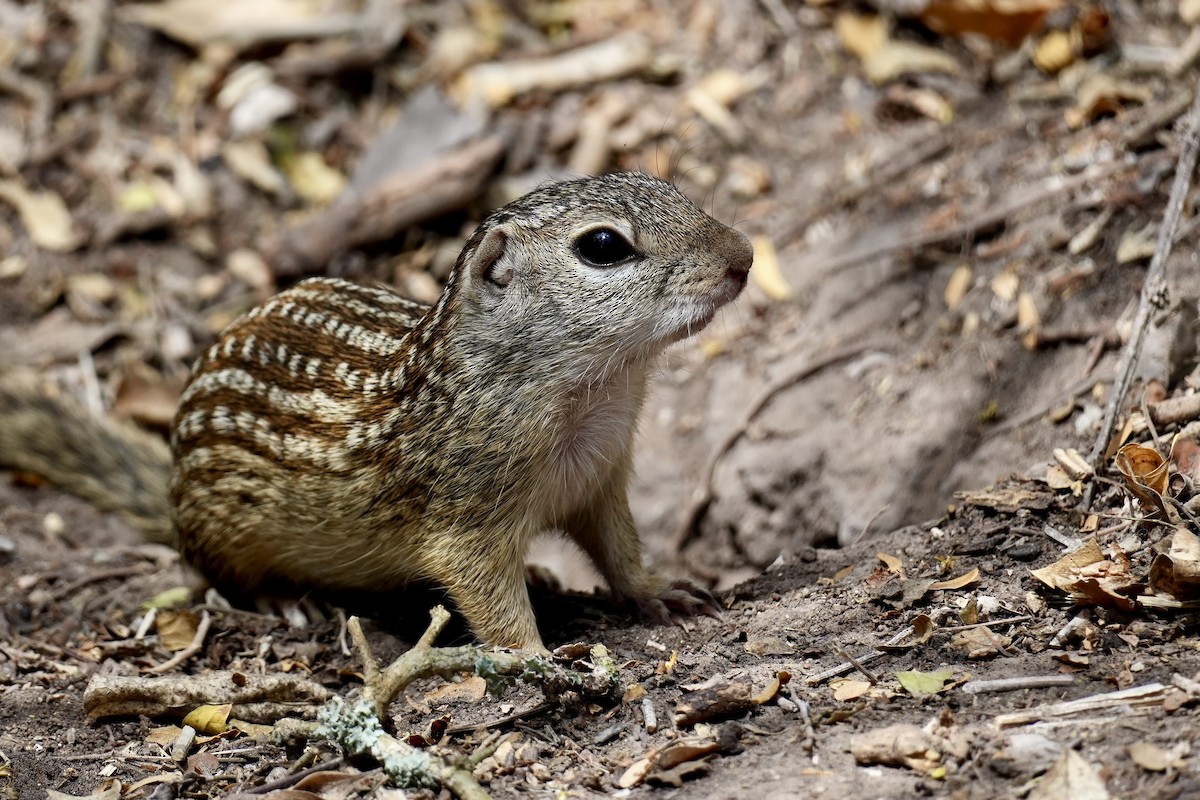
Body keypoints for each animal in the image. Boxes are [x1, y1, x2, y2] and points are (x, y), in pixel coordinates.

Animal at [0, 172, 753, 652]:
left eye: (670, 188)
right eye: (603, 246)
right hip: (225, 533)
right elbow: (489, 597)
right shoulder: (467, 523)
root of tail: (171, 492)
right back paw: (284, 600)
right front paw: (537, 656)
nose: (743, 256)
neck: (594, 393)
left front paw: (663, 591)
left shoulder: (600, 482)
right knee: (217, 575)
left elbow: (621, 551)